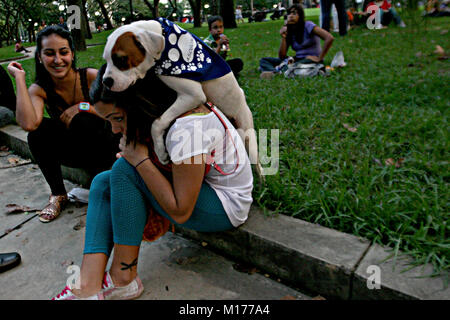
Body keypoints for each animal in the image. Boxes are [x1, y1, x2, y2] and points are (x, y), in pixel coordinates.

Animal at [102, 18, 264, 178]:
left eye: (121, 59)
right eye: (106, 59)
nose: (105, 81)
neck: (164, 39)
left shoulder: (193, 95)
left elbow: (157, 123)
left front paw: (160, 152)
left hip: (248, 131)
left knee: (255, 157)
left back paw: (261, 175)